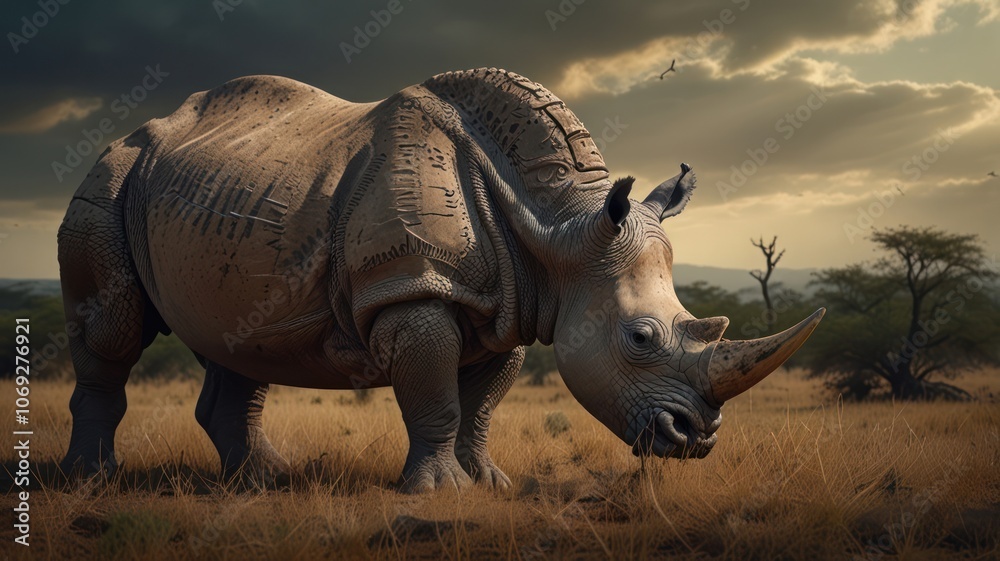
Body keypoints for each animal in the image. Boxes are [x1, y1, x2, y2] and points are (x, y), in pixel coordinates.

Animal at [58, 68, 824, 492]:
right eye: (639, 338)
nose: (696, 437)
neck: (557, 227)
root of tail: (127, 137)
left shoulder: (510, 307)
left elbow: (479, 404)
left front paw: (488, 482)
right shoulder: (412, 286)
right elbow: (434, 393)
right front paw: (437, 493)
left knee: (238, 341)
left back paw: (266, 481)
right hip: (109, 179)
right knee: (112, 331)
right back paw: (92, 480)